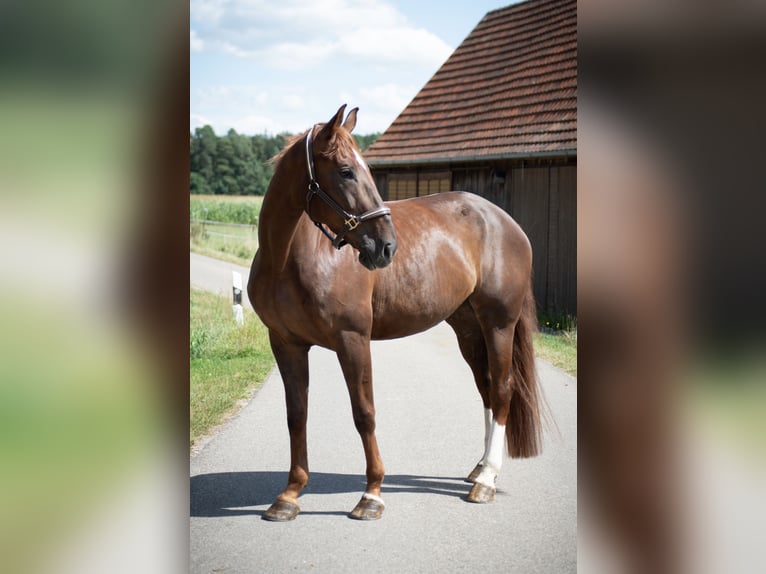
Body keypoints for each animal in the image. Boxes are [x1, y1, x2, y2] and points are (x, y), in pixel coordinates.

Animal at [249, 106, 544, 524]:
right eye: (345, 171)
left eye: (366, 170)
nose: (386, 247)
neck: (289, 259)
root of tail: (506, 222)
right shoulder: (286, 343)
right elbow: (296, 416)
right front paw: (289, 495)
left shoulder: (352, 340)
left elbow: (364, 413)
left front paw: (371, 494)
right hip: (469, 329)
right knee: (486, 388)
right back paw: (479, 467)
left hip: (499, 324)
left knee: (503, 390)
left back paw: (487, 478)